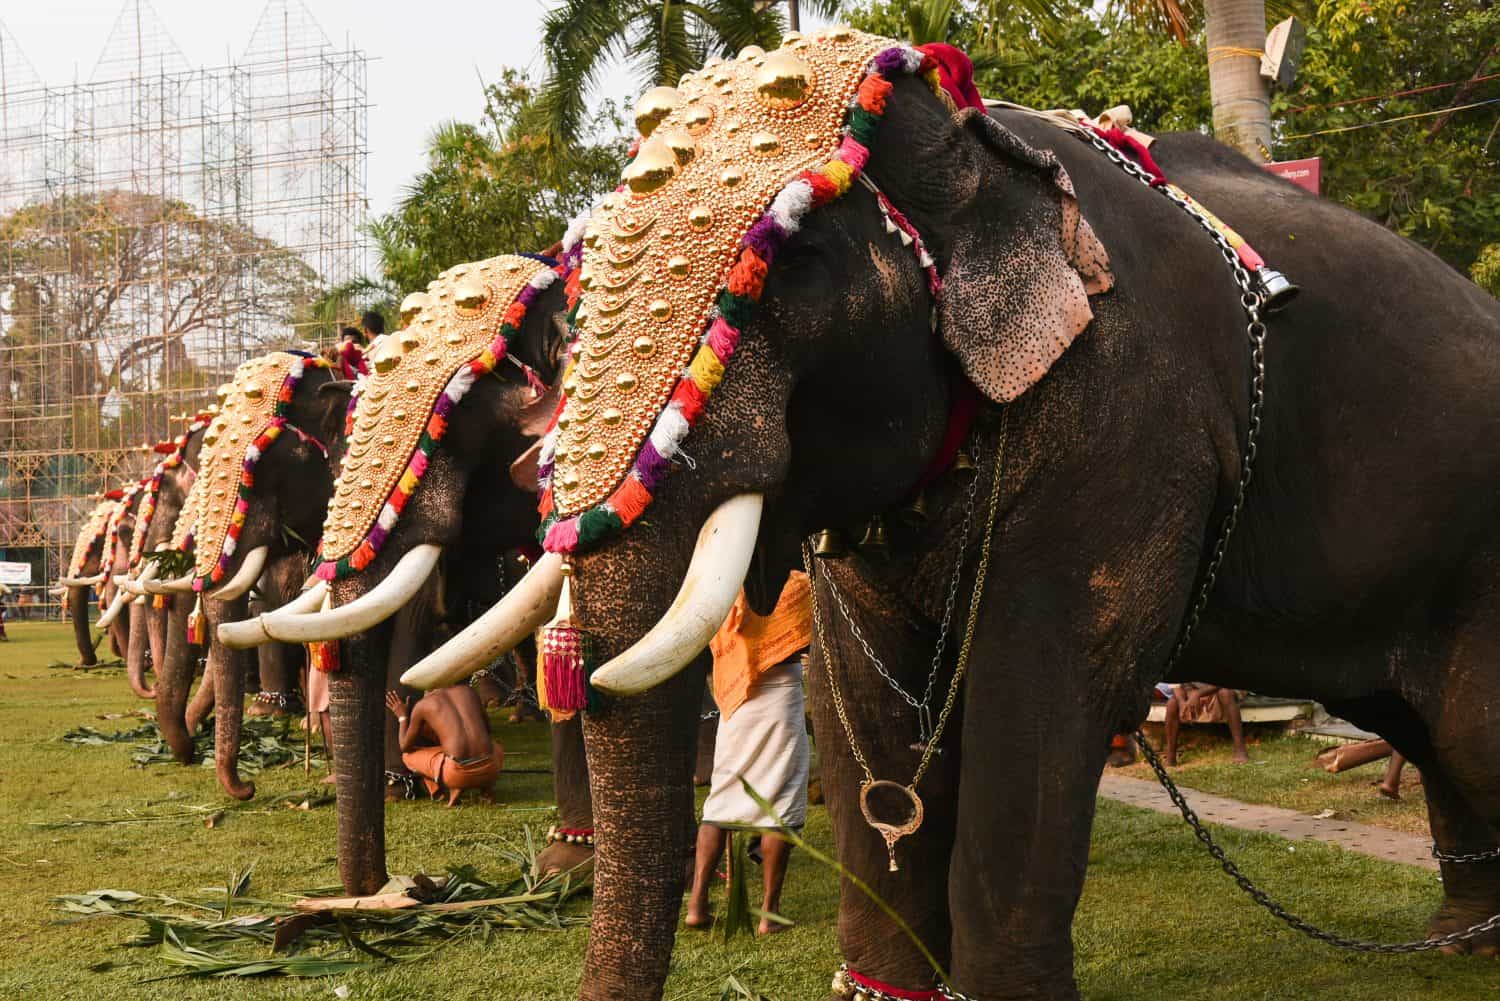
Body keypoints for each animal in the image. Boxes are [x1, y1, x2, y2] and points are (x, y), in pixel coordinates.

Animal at [395, 31, 1500, 1001]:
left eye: (792, 265)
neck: (975, 143)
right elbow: (864, 701)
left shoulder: (1132, 425)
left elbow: (1044, 689)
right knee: (1434, 731)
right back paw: (1458, 943)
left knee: (1467, 727)